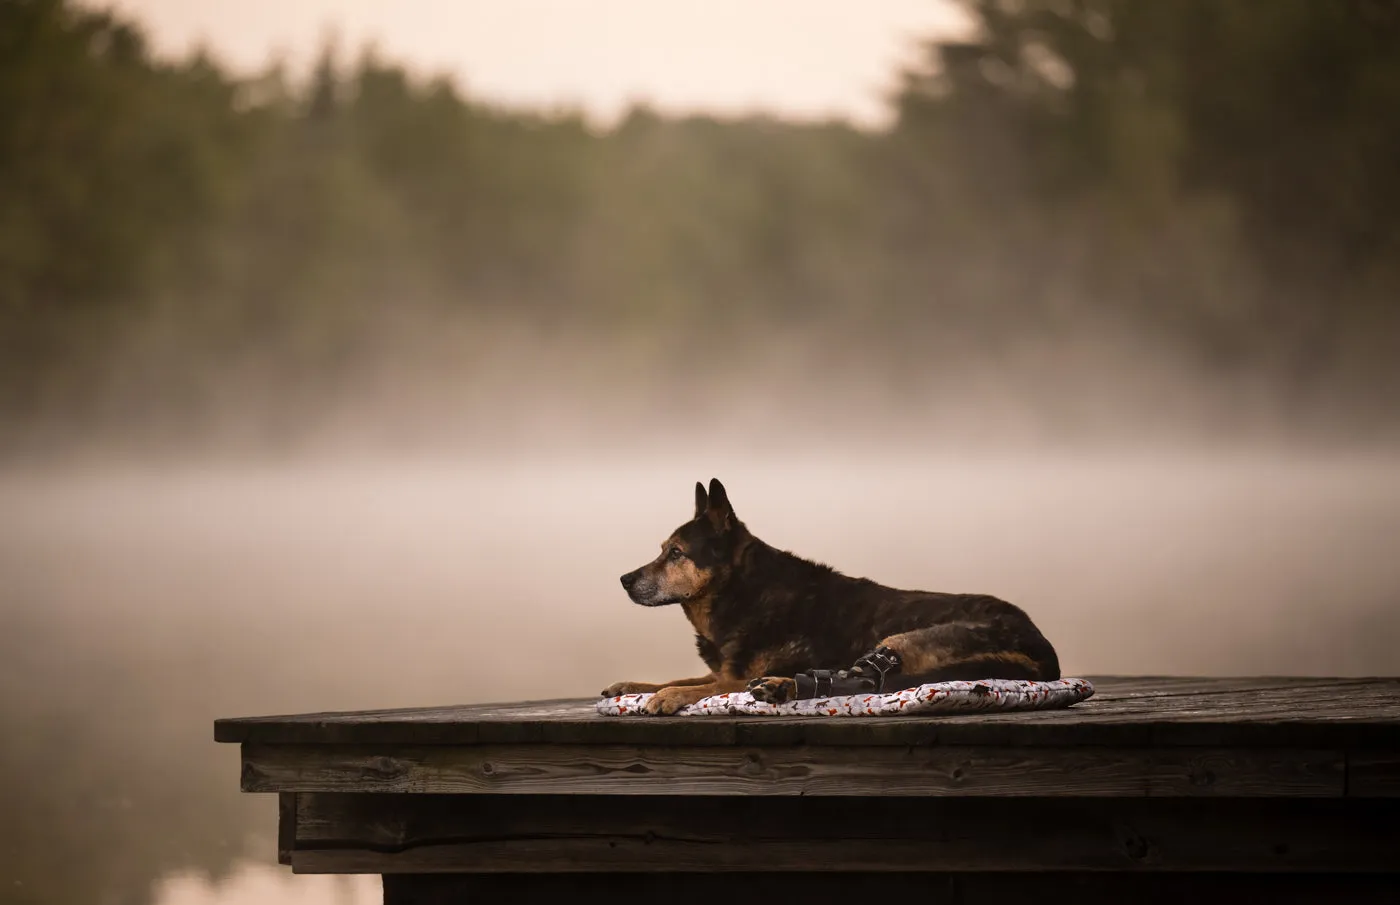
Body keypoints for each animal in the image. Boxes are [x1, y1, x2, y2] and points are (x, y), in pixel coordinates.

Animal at [602, 479, 1058, 717]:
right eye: (663, 550)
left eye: (677, 553)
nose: (623, 579)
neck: (744, 592)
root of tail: (1043, 650)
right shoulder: (723, 668)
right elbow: (688, 677)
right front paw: (632, 685)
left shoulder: (737, 674)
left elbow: (708, 686)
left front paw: (668, 696)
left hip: (905, 639)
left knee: (865, 680)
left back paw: (782, 687)